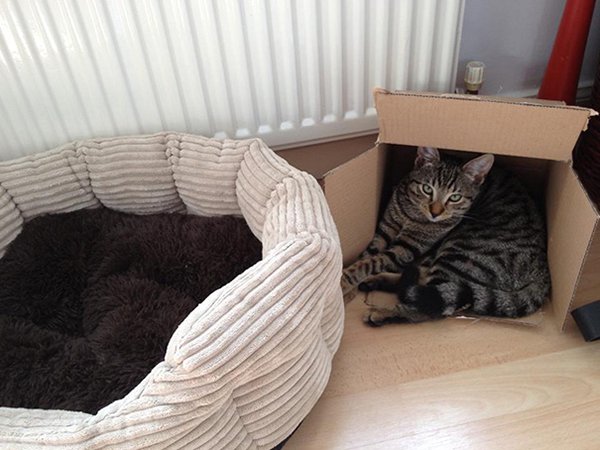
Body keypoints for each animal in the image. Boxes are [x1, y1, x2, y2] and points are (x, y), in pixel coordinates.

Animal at [340, 148, 552, 326]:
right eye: (427, 189)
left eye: (455, 197)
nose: (435, 213)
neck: (411, 214)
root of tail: (543, 274)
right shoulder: (384, 231)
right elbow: (366, 256)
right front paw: (346, 289)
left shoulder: (407, 248)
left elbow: (370, 262)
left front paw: (344, 282)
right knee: (422, 284)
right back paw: (377, 281)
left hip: (460, 252)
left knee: (434, 306)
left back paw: (381, 312)